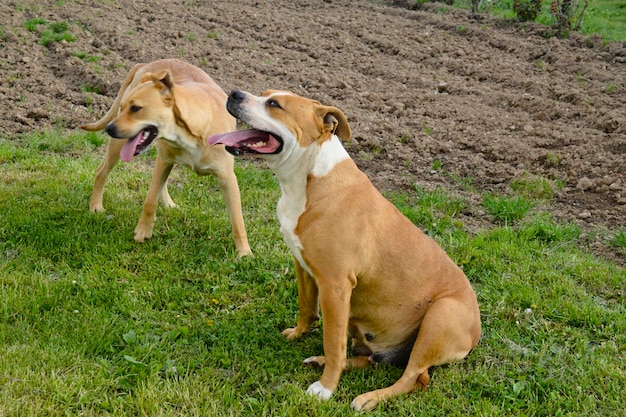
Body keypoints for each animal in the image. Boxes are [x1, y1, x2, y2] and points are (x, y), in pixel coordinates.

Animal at [81, 58, 251, 256]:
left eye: (136, 108)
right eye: (124, 108)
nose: (109, 129)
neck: (193, 130)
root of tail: (145, 65)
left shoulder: (227, 178)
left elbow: (238, 220)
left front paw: (245, 253)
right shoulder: (164, 161)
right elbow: (150, 201)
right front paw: (143, 230)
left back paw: (168, 203)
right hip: (121, 146)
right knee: (102, 172)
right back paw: (95, 206)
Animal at [207, 90, 480, 410]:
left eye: (274, 104)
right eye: (263, 95)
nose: (234, 93)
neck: (311, 179)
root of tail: (476, 334)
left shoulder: (335, 286)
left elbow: (332, 340)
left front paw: (326, 388)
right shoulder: (304, 266)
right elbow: (306, 308)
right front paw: (298, 335)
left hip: (439, 316)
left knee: (410, 378)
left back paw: (368, 398)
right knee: (370, 361)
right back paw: (323, 361)